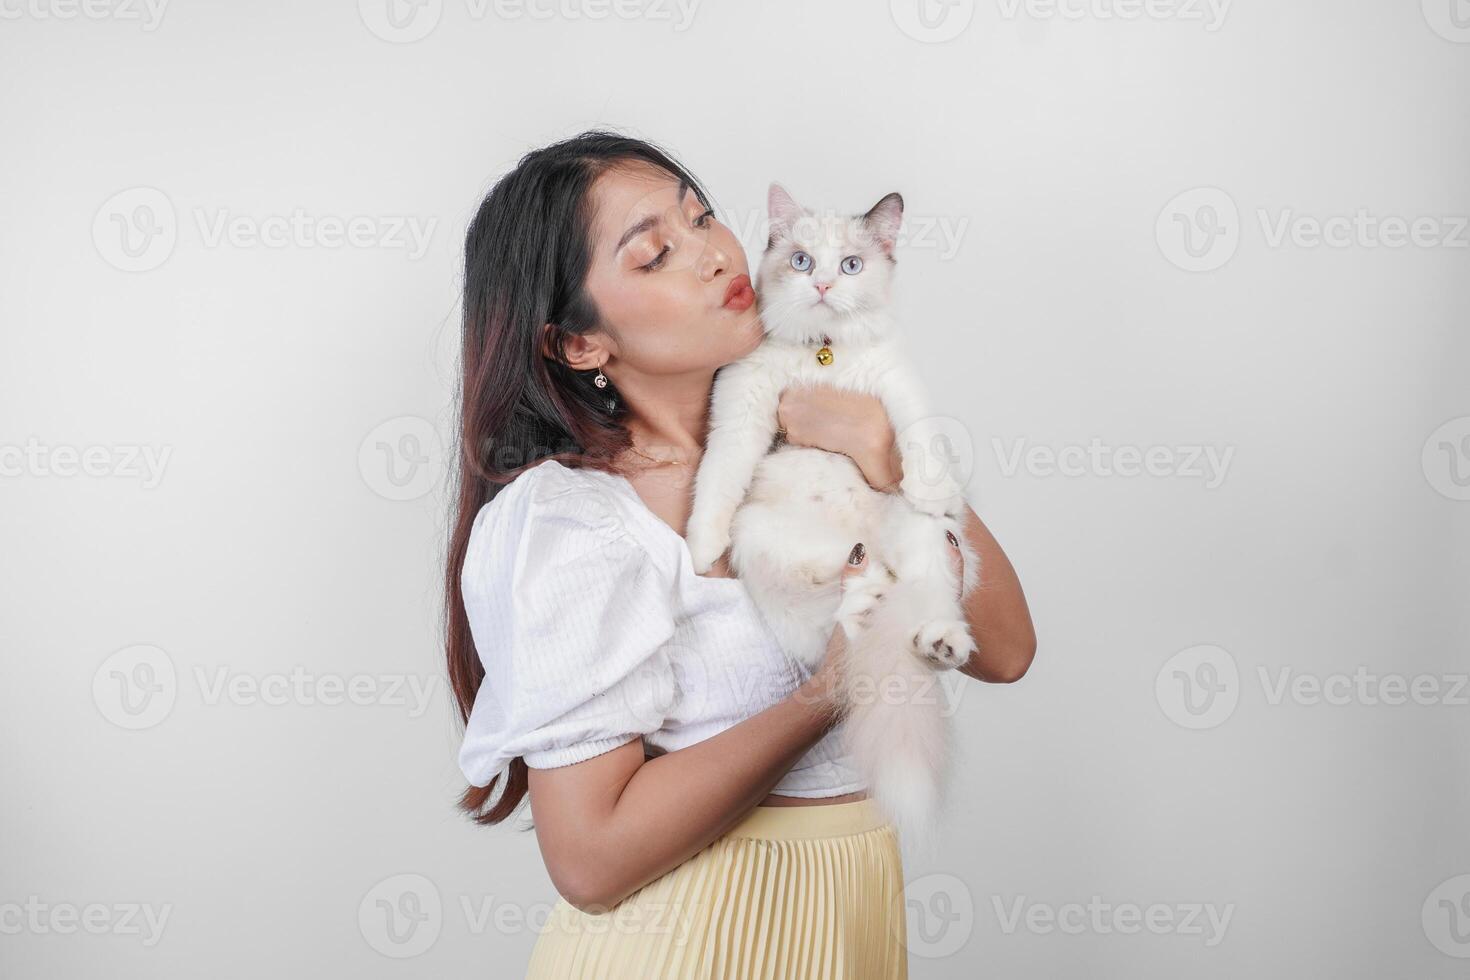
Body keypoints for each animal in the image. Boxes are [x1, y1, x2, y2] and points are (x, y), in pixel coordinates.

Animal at [687, 185, 987, 852]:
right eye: (801, 261)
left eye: (850, 265)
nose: (823, 284)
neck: (825, 354)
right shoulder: (743, 406)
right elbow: (717, 476)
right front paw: (697, 547)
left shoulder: (896, 387)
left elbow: (919, 438)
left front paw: (935, 488)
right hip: (771, 546)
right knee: (826, 616)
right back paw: (861, 594)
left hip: (924, 546)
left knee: (925, 613)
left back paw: (938, 638)